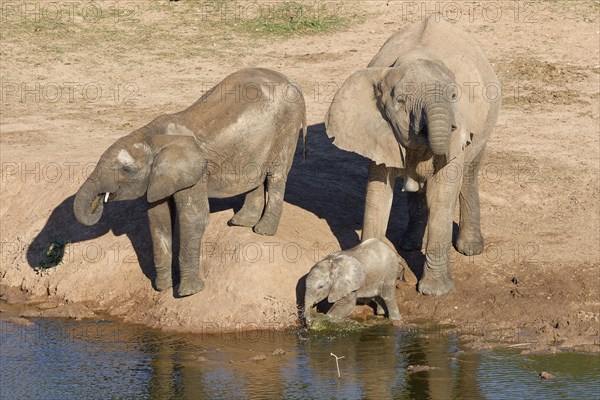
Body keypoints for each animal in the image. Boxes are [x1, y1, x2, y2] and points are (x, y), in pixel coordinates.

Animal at [74, 67, 308, 296]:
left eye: (127, 169)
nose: (98, 202)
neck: (152, 135)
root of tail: (292, 81)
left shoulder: (195, 174)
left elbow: (194, 218)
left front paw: (188, 292)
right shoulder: (158, 179)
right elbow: (159, 220)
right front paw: (163, 287)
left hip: (287, 124)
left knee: (276, 175)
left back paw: (263, 230)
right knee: (255, 175)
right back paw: (241, 222)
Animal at [326, 16, 500, 296]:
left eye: (454, 95)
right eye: (400, 100)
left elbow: (442, 191)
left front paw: (435, 292)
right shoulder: (378, 131)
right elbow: (377, 192)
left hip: (486, 121)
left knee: (468, 175)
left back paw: (470, 249)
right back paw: (408, 244)